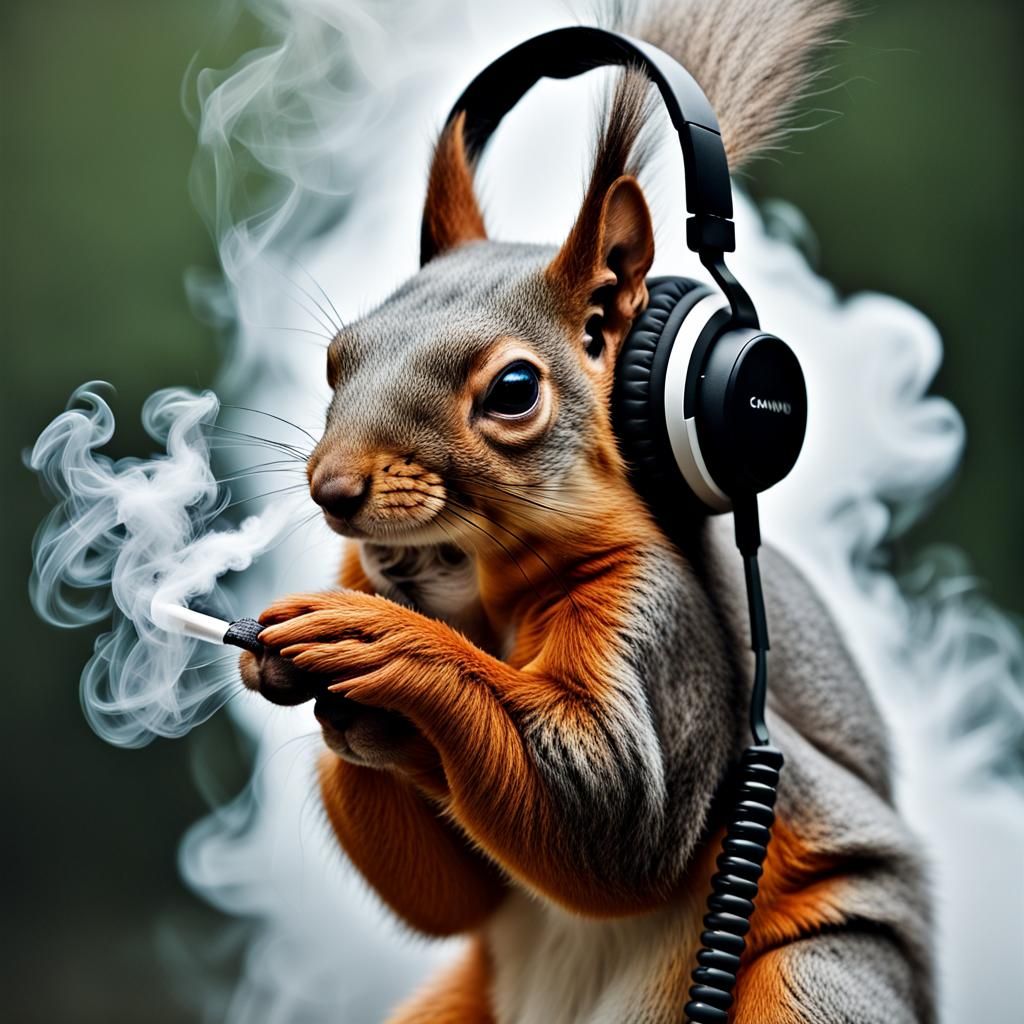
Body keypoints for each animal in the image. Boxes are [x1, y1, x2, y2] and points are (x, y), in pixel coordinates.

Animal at [239, 1, 934, 1021]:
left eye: (514, 391)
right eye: (337, 358)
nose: (334, 489)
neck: (480, 593)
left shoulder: (666, 626)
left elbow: (615, 815)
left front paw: (381, 642)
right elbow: (452, 893)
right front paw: (315, 674)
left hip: (817, 977)